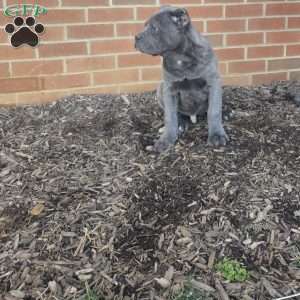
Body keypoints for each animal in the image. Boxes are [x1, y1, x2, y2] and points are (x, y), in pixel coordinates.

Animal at [135, 6, 229, 152]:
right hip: (160, 88)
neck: (179, 57)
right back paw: (181, 123)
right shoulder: (169, 89)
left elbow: (214, 111)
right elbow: (170, 116)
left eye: (154, 28)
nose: (136, 37)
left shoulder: (213, 83)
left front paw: (217, 136)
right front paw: (166, 140)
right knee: (177, 113)